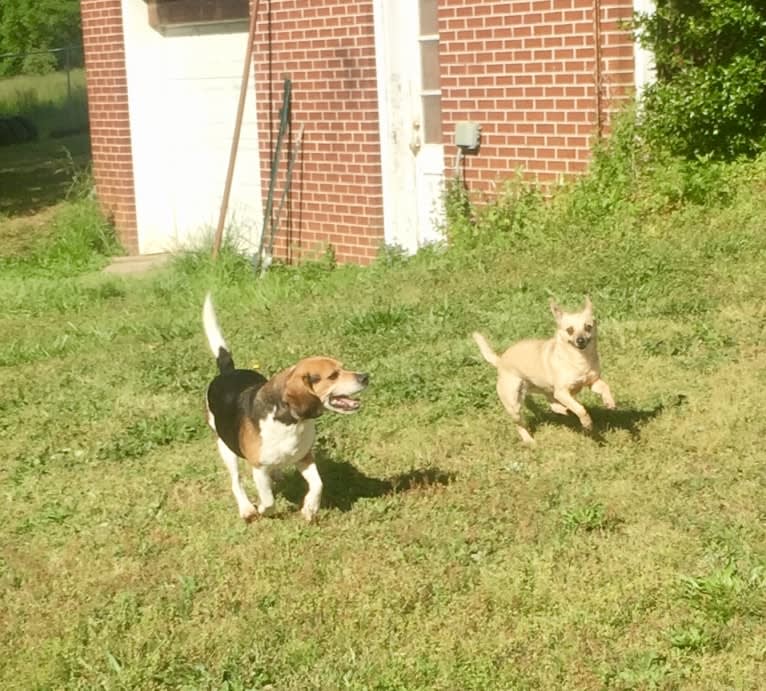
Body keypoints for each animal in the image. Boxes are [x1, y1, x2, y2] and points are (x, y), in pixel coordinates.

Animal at [202, 294, 370, 524]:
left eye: (343, 367)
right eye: (333, 376)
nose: (365, 377)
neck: (291, 423)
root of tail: (228, 372)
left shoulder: (304, 457)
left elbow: (318, 484)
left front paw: (309, 508)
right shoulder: (259, 468)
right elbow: (268, 500)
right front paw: (263, 509)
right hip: (225, 447)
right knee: (236, 482)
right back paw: (247, 509)